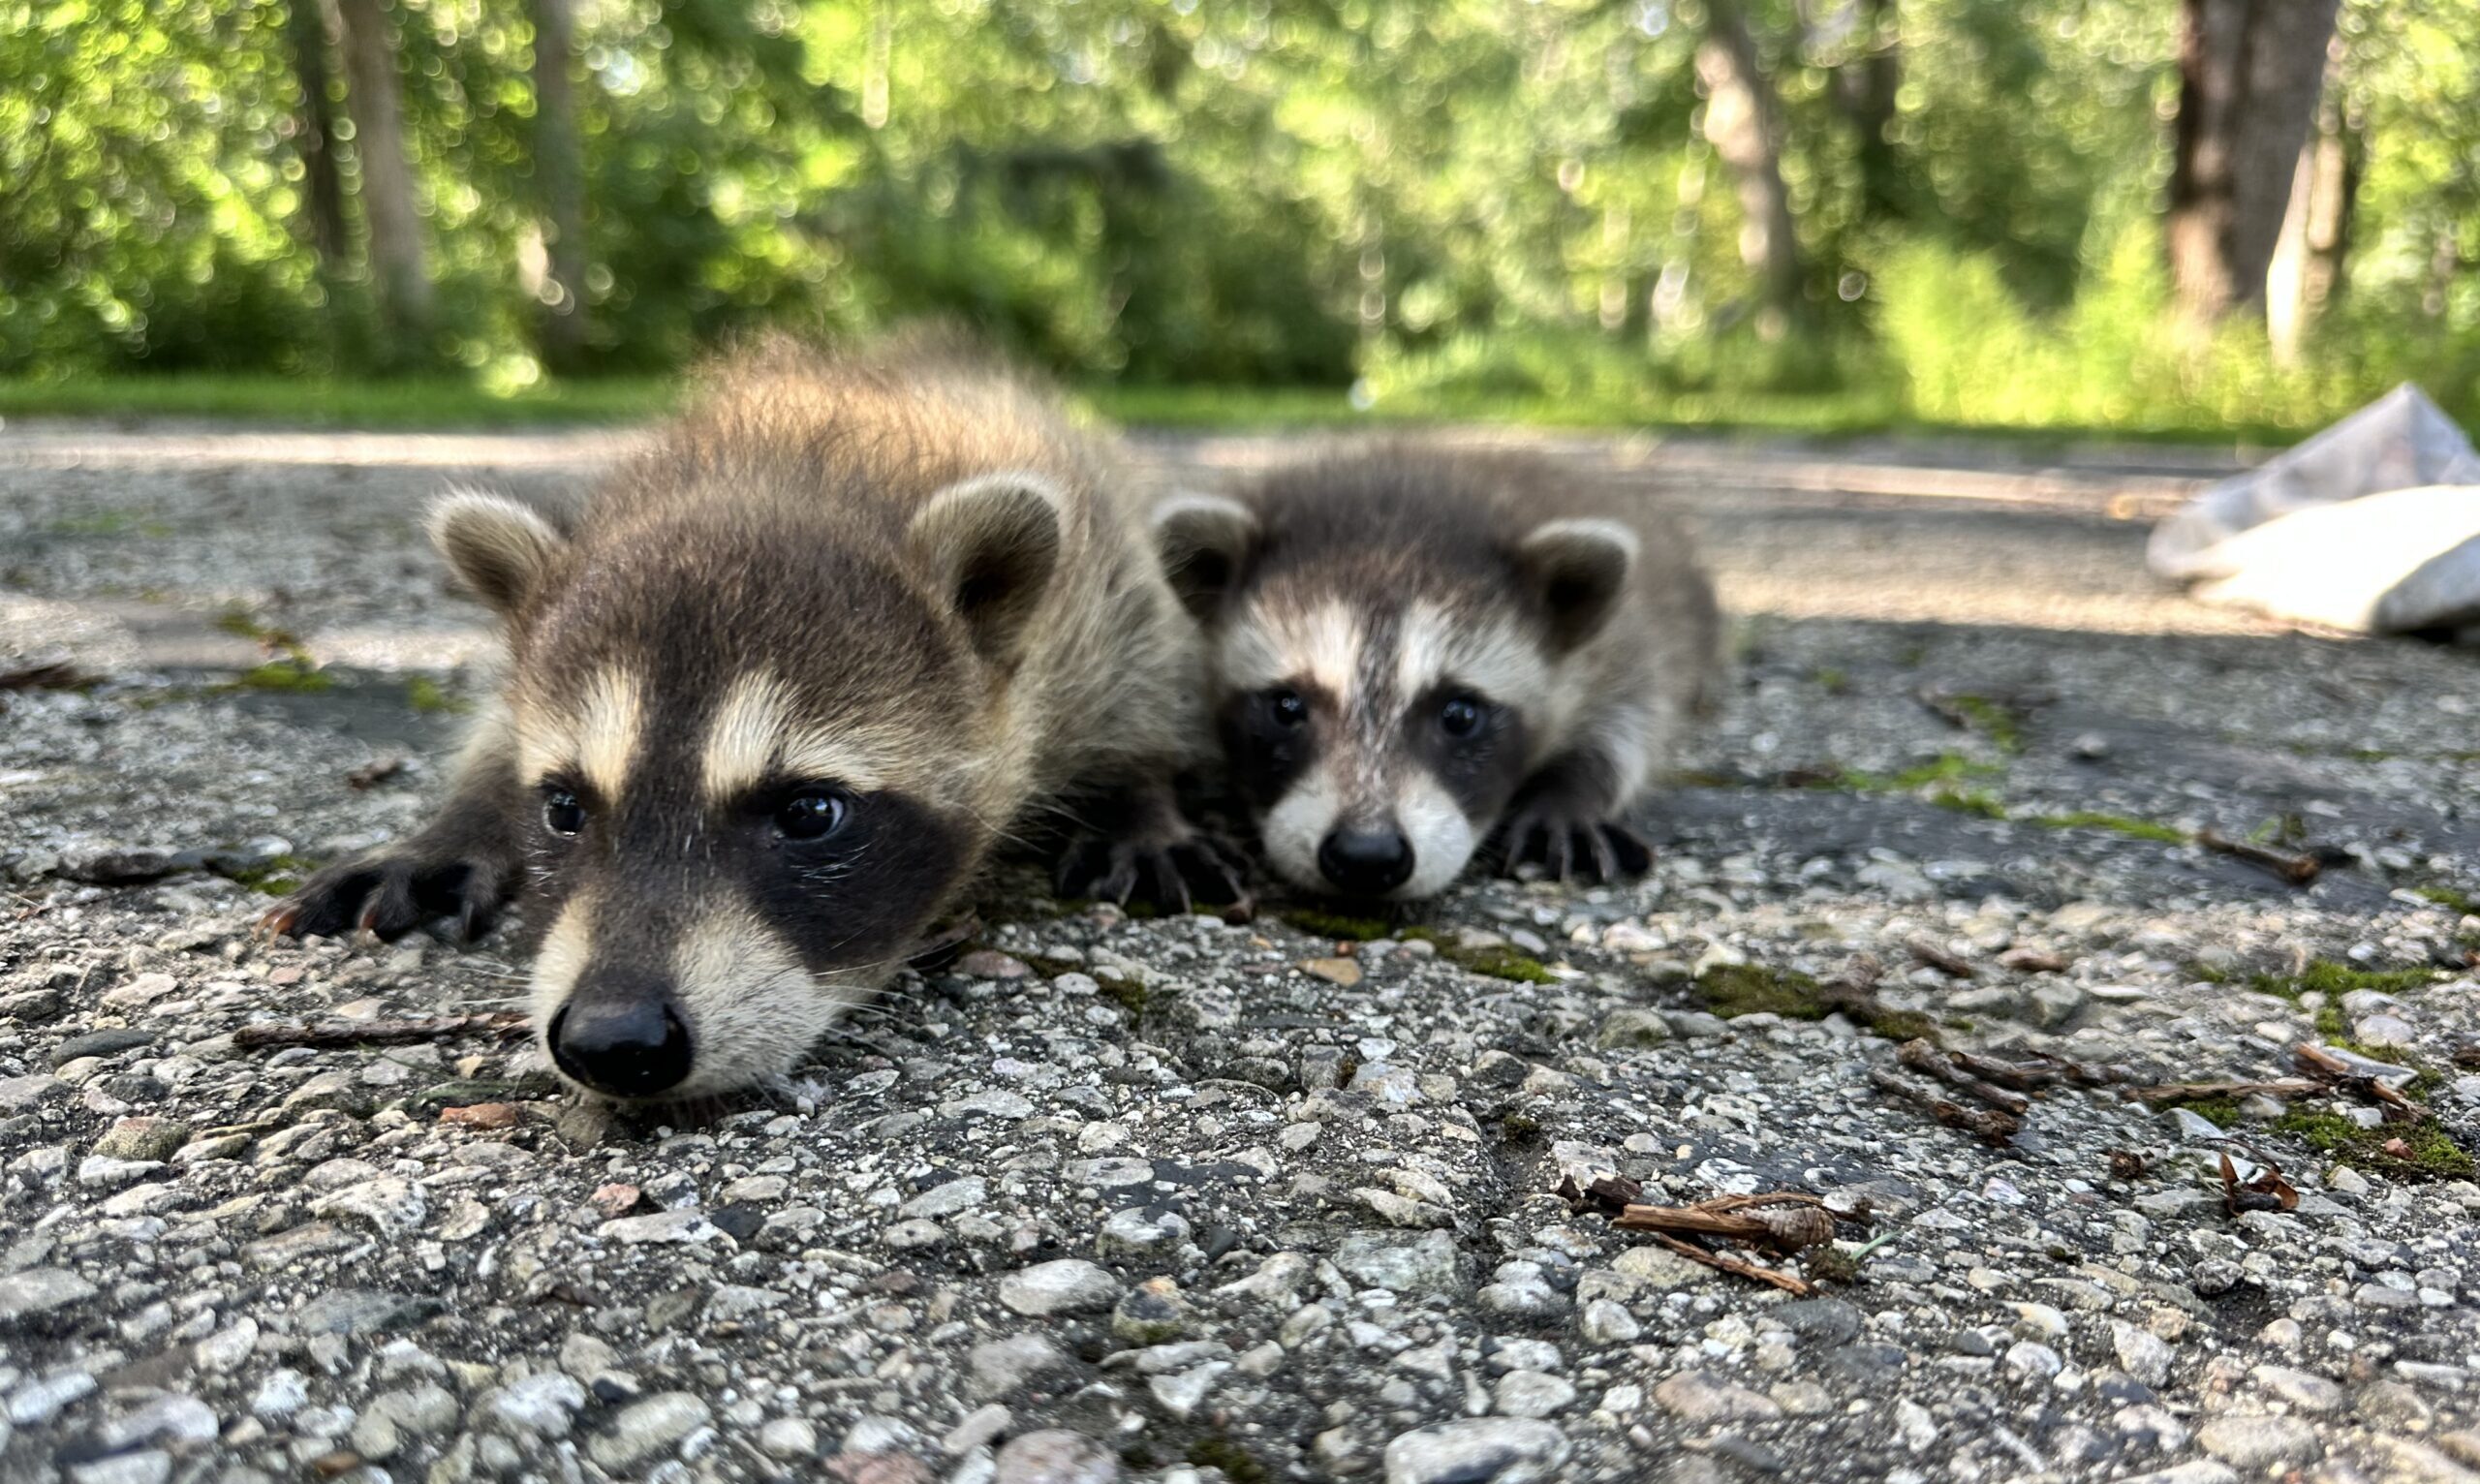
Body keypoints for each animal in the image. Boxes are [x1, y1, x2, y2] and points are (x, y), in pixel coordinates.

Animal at [268, 335, 1236, 1100]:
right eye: (565, 808)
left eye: (809, 813)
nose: (612, 1039)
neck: (793, 476)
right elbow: (497, 727)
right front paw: (456, 821)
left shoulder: (1099, 597)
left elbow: (1150, 684)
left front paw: (1143, 797)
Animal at [1154, 443, 1719, 900]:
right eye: (1286, 706)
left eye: (1460, 715)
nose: (1366, 856)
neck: (1407, 497)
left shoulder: (1625, 642)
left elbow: (1631, 715)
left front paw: (1570, 794)